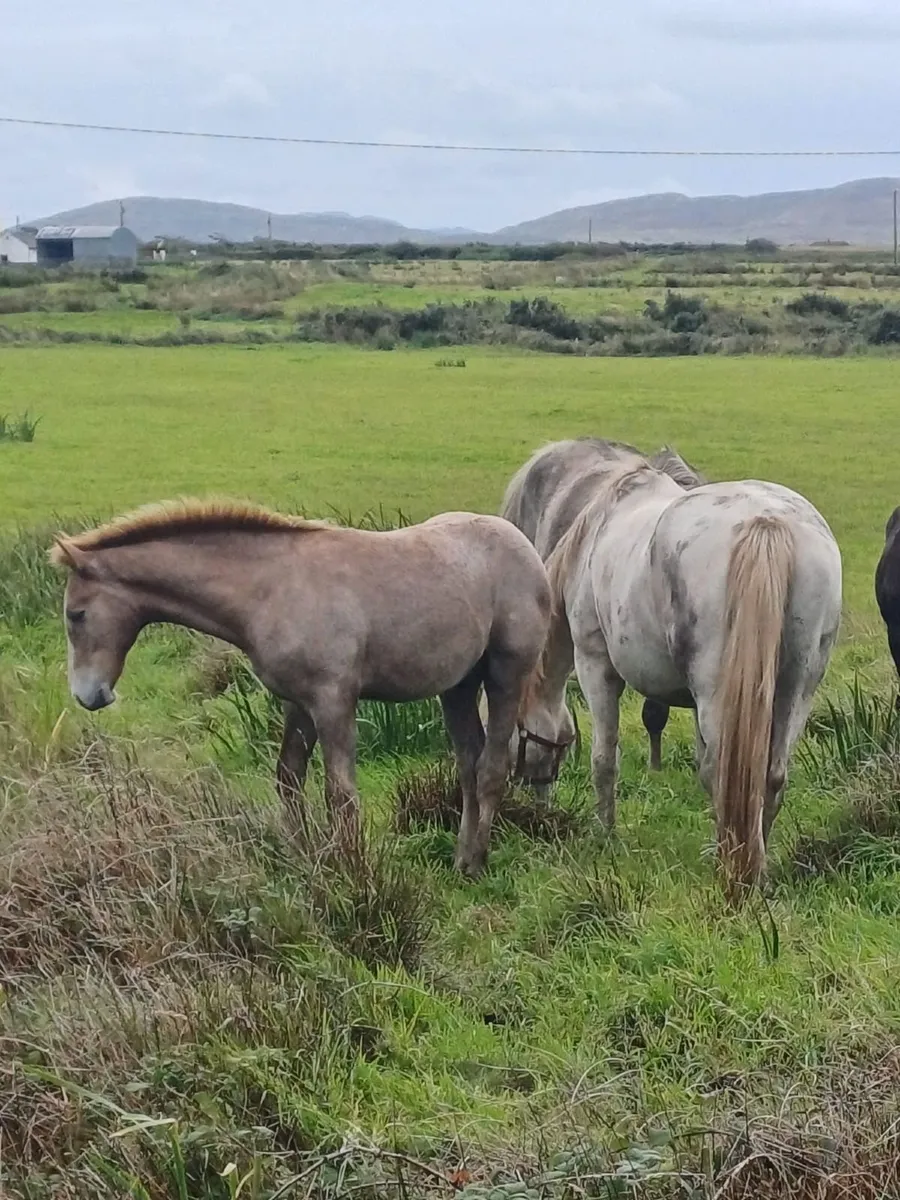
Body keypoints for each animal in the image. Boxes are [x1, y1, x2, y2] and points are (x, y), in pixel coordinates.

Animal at [49, 499, 551, 879]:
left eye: (76, 614)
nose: (89, 695)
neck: (271, 589)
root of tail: (523, 545)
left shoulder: (334, 700)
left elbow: (340, 794)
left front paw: (352, 872)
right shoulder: (298, 701)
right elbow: (288, 777)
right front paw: (301, 858)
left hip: (506, 673)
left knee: (491, 767)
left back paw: (475, 863)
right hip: (458, 685)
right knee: (468, 763)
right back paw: (462, 856)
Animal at [517, 449, 842, 893]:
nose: (537, 808)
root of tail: (766, 521)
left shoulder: (595, 664)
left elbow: (605, 759)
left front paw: (605, 836)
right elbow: (702, 768)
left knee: (727, 774)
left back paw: (731, 866)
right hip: (797, 689)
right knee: (770, 776)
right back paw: (755, 865)